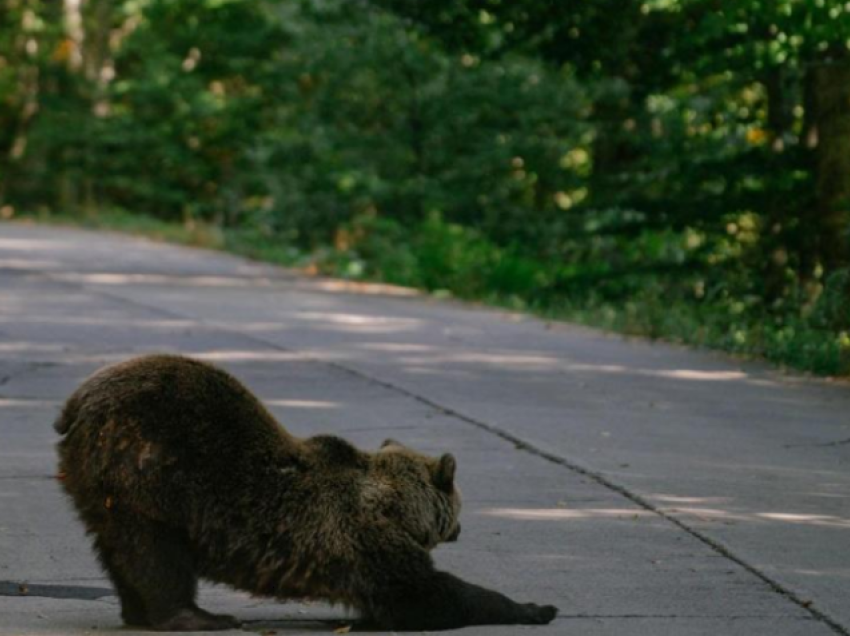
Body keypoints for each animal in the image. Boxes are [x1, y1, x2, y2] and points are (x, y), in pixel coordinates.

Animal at [53, 356, 556, 628]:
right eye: (458, 503)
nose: (461, 528)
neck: (396, 510)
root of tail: (75, 403)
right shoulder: (363, 541)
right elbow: (425, 595)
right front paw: (535, 606)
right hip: (150, 470)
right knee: (157, 553)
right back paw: (198, 616)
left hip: (99, 485)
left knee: (119, 548)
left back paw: (136, 610)